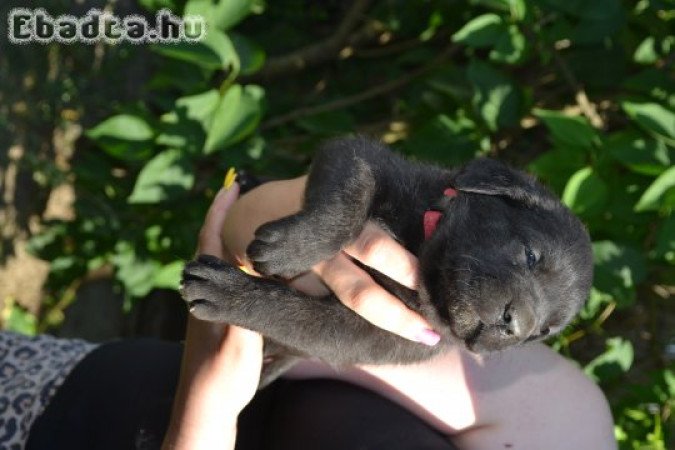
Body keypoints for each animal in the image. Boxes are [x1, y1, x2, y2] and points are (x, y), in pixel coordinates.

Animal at [180, 136, 592, 384]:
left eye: (544, 332)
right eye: (530, 254)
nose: (516, 326)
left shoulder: (369, 335)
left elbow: (289, 313)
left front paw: (229, 294)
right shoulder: (362, 156)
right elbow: (353, 193)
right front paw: (290, 250)